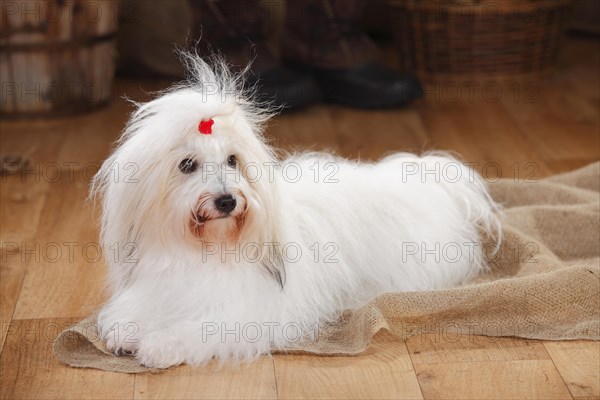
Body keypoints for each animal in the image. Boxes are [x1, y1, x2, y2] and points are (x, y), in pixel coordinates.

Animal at [91, 54, 500, 368]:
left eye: (233, 160)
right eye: (187, 165)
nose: (227, 201)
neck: (206, 248)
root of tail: (424, 178)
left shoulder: (240, 314)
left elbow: (197, 330)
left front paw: (160, 345)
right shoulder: (159, 285)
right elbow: (135, 311)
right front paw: (127, 330)